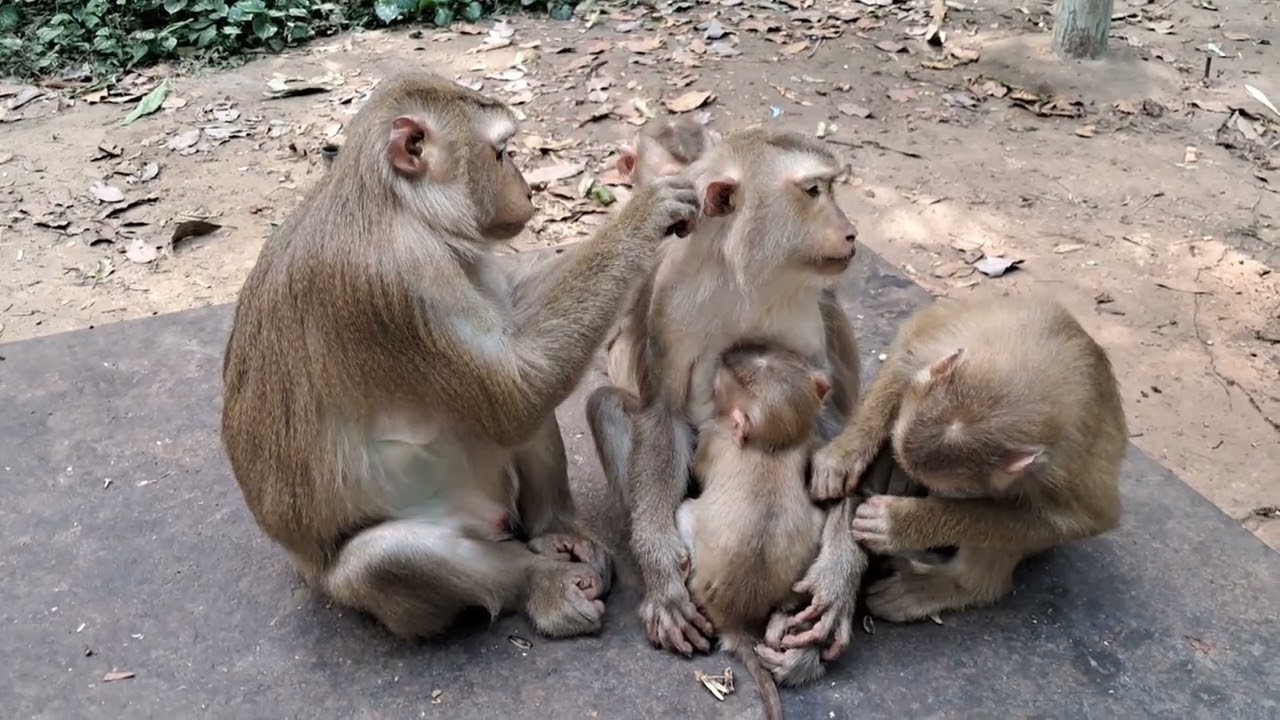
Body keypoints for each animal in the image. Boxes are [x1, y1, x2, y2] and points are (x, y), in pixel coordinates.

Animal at [219, 72, 700, 642]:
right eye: (501, 151)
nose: (527, 188)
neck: (399, 205)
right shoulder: (397, 285)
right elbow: (515, 391)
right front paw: (645, 214)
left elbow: (517, 350)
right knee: (385, 559)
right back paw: (542, 583)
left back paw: (555, 532)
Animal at [676, 341, 833, 720]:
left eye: (720, 384)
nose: (726, 355)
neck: (772, 443)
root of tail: (736, 621)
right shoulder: (811, 443)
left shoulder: (713, 437)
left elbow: (701, 465)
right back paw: (780, 619)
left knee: (685, 512)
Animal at [809, 292, 1127, 622]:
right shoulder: (947, 339)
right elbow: (906, 355)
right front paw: (844, 454)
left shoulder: (1065, 470)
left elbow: (1075, 521)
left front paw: (896, 523)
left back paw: (958, 586)